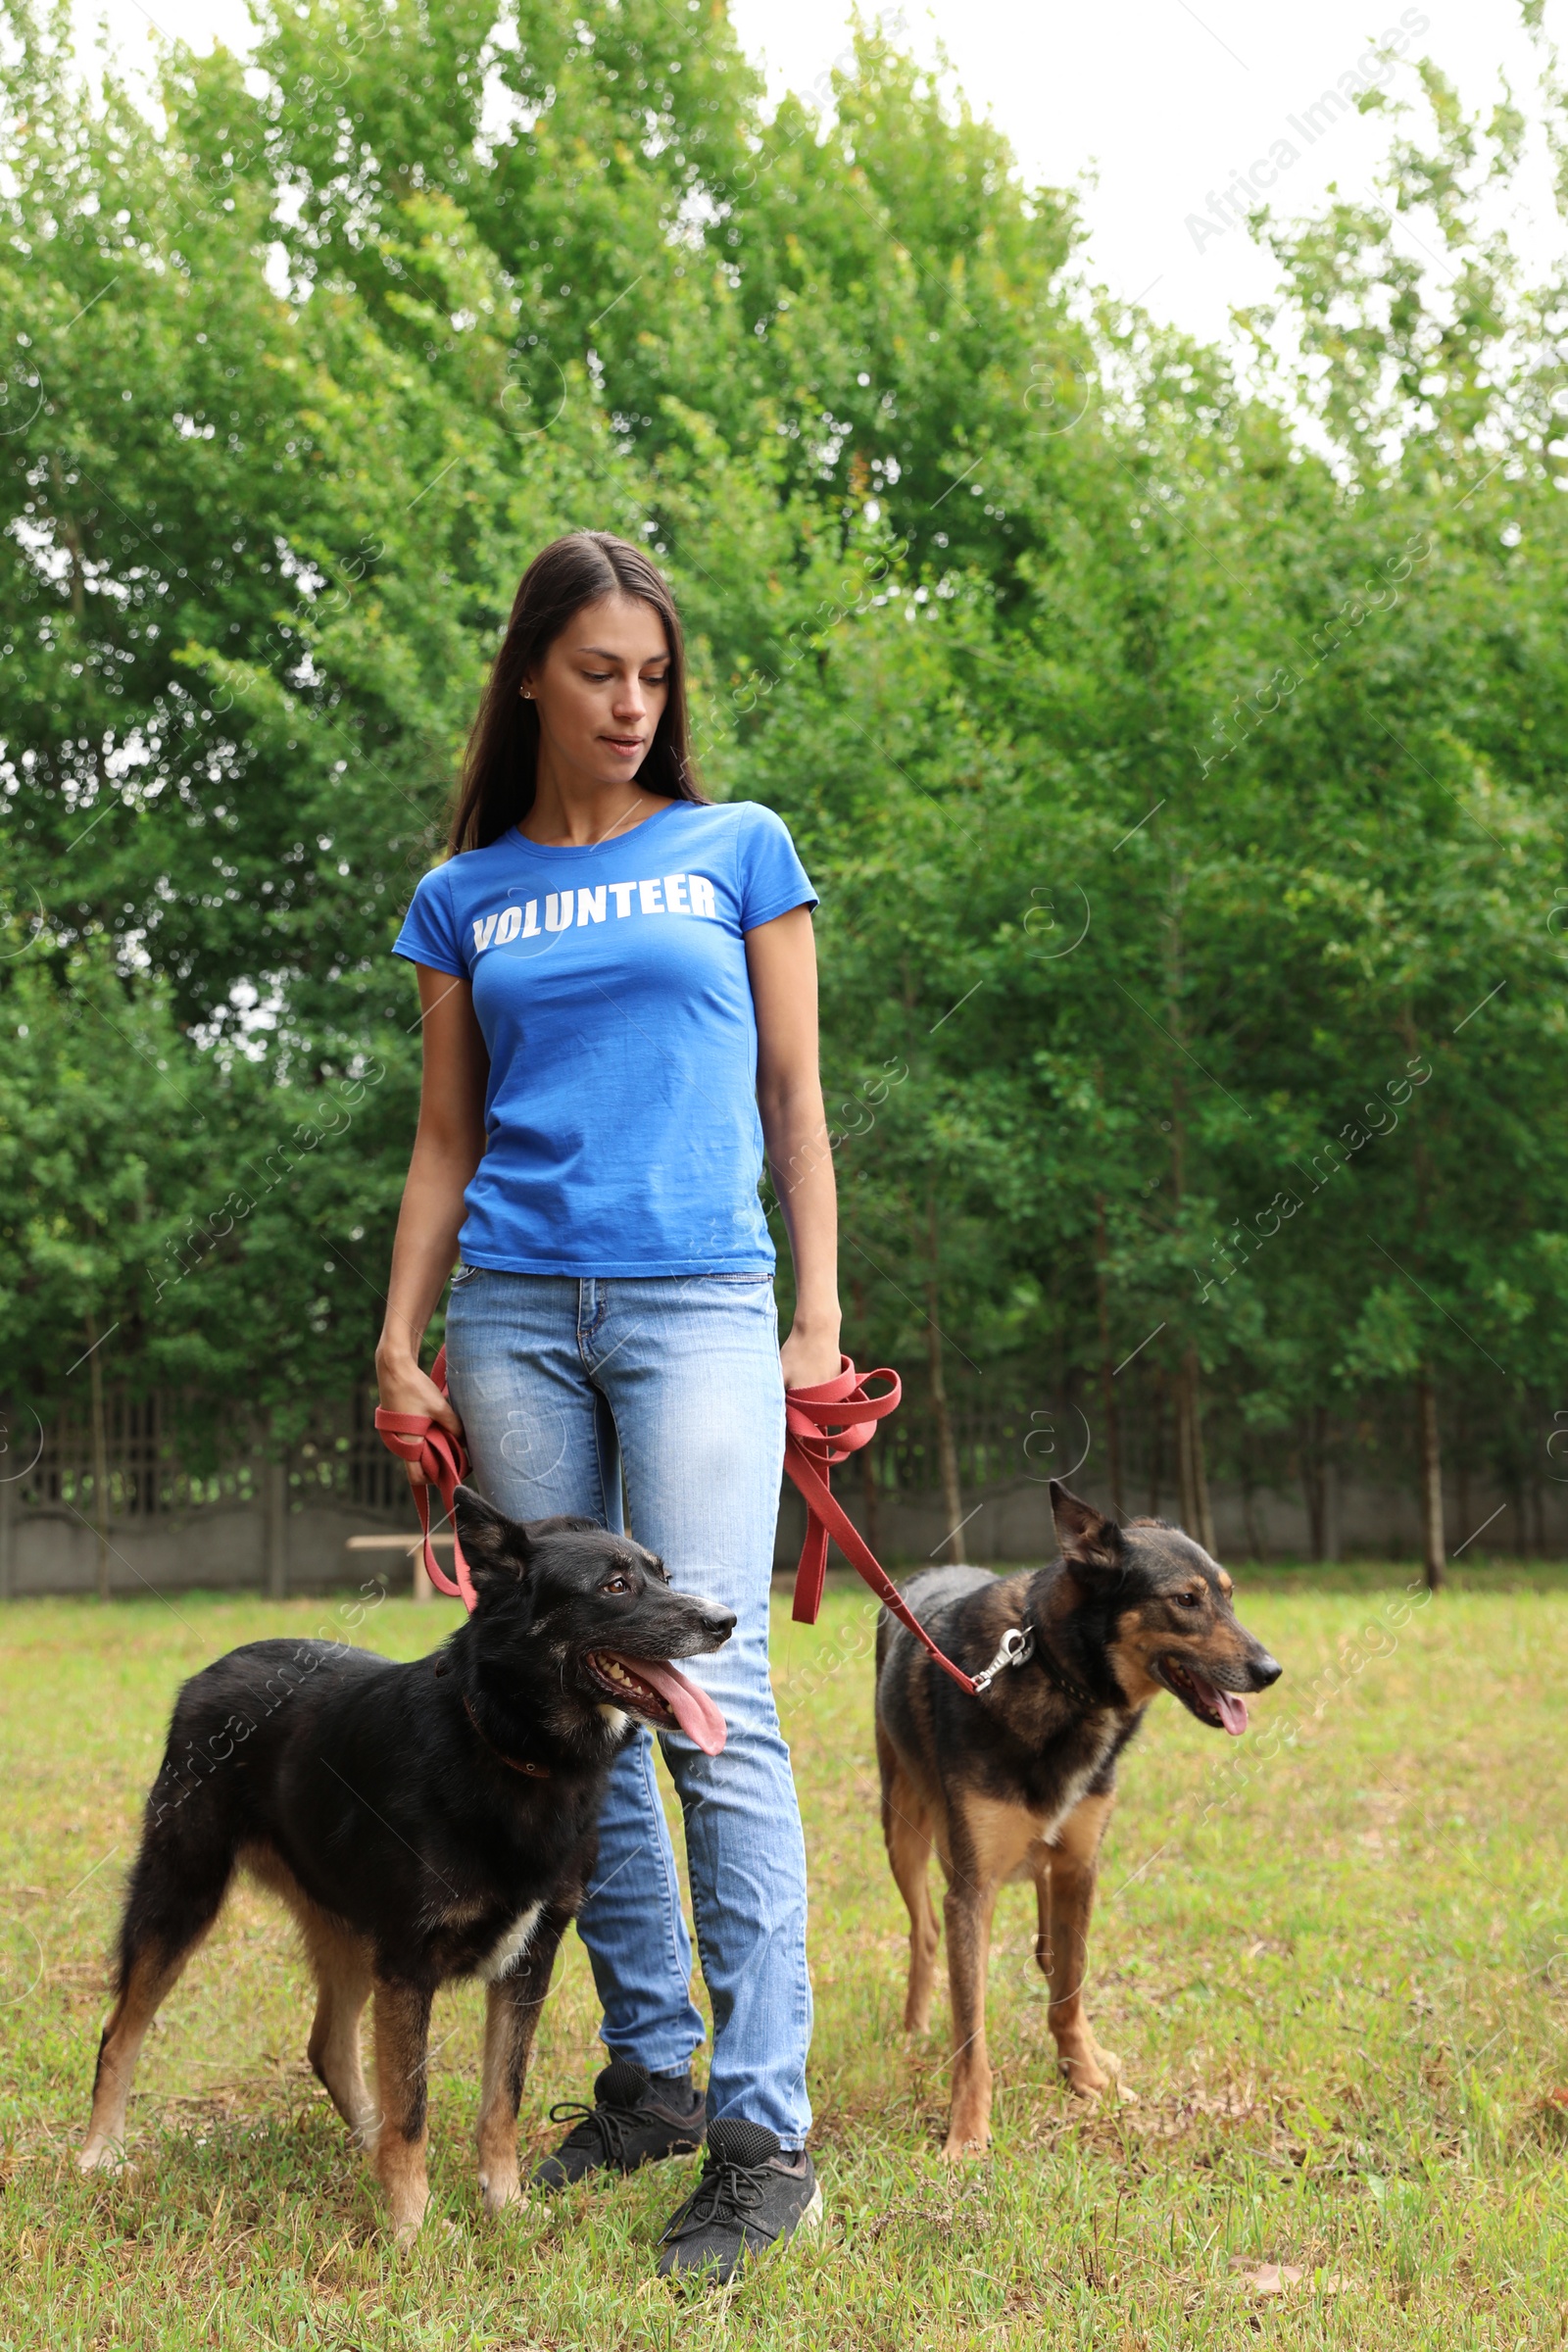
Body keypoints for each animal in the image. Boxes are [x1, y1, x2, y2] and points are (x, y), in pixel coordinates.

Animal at [77, 1486, 728, 2238]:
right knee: (120, 2031)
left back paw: (368, 2145)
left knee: (330, 2047)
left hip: (347, 1930)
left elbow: (499, 2101)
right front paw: (413, 2229)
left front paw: (503, 2205)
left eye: (664, 1575)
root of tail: (207, 1673)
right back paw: (100, 2152)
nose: (725, 1622)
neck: (505, 1744)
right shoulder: (409, 1964)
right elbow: (414, 2109)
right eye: (615, 1586)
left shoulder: (526, 1960)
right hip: (183, 1892)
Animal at [879, 1477, 1278, 2154]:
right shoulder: (972, 1889)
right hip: (900, 1828)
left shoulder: (1080, 1867)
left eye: (1228, 1596)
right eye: (1185, 1600)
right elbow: (972, 2032)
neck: (1057, 1674)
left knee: (1047, 1946)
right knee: (924, 1931)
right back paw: (913, 2027)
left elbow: (1069, 1988)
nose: (1271, 1671)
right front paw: (968, 2134)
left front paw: (1085, 2077)